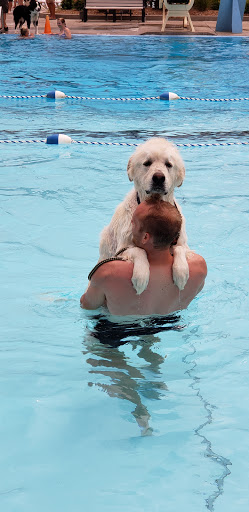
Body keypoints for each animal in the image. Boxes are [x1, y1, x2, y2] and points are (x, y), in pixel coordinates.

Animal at [98, 138, 189, 294]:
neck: (155, 202)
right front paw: (141, 277)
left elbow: (180, 248)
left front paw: (181, 273)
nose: (158, 178)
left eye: (168, 164)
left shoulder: (183, 243)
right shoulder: (121, 250)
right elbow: (138, 249)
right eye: (147, 163)